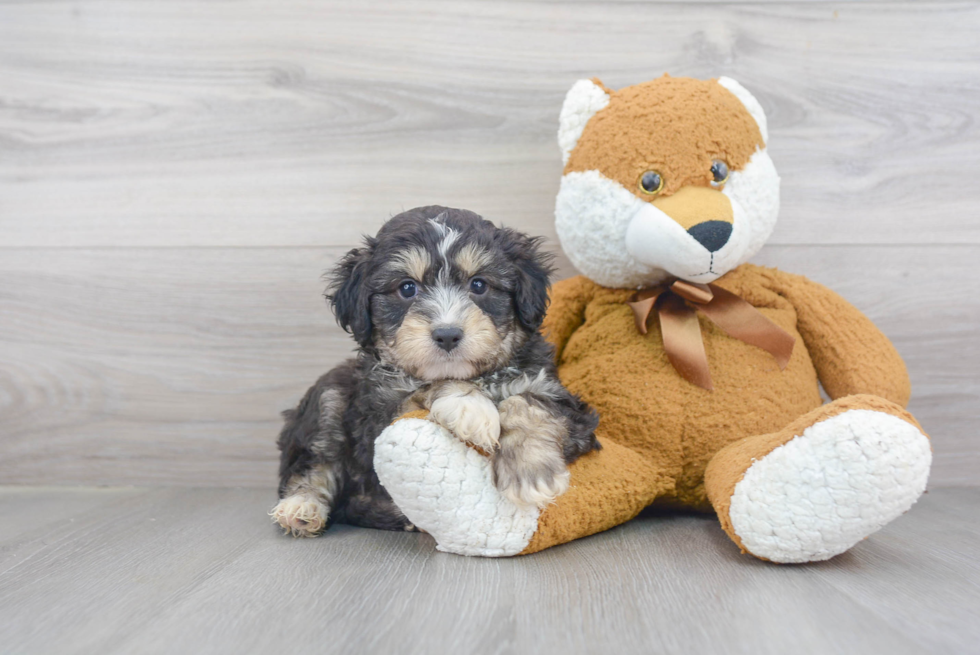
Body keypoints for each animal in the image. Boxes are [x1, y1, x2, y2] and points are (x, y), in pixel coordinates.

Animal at [272, 206, 600, 540]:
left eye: (479, 285)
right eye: (407, 288)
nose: (447, 335)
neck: (477, 376)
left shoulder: (562, 400)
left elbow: (525, 403)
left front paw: (532, 473)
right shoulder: (376, 419)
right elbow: (427, 387)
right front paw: (468, 405)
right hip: (330, 394)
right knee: (316, 462)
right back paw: (302, 508)